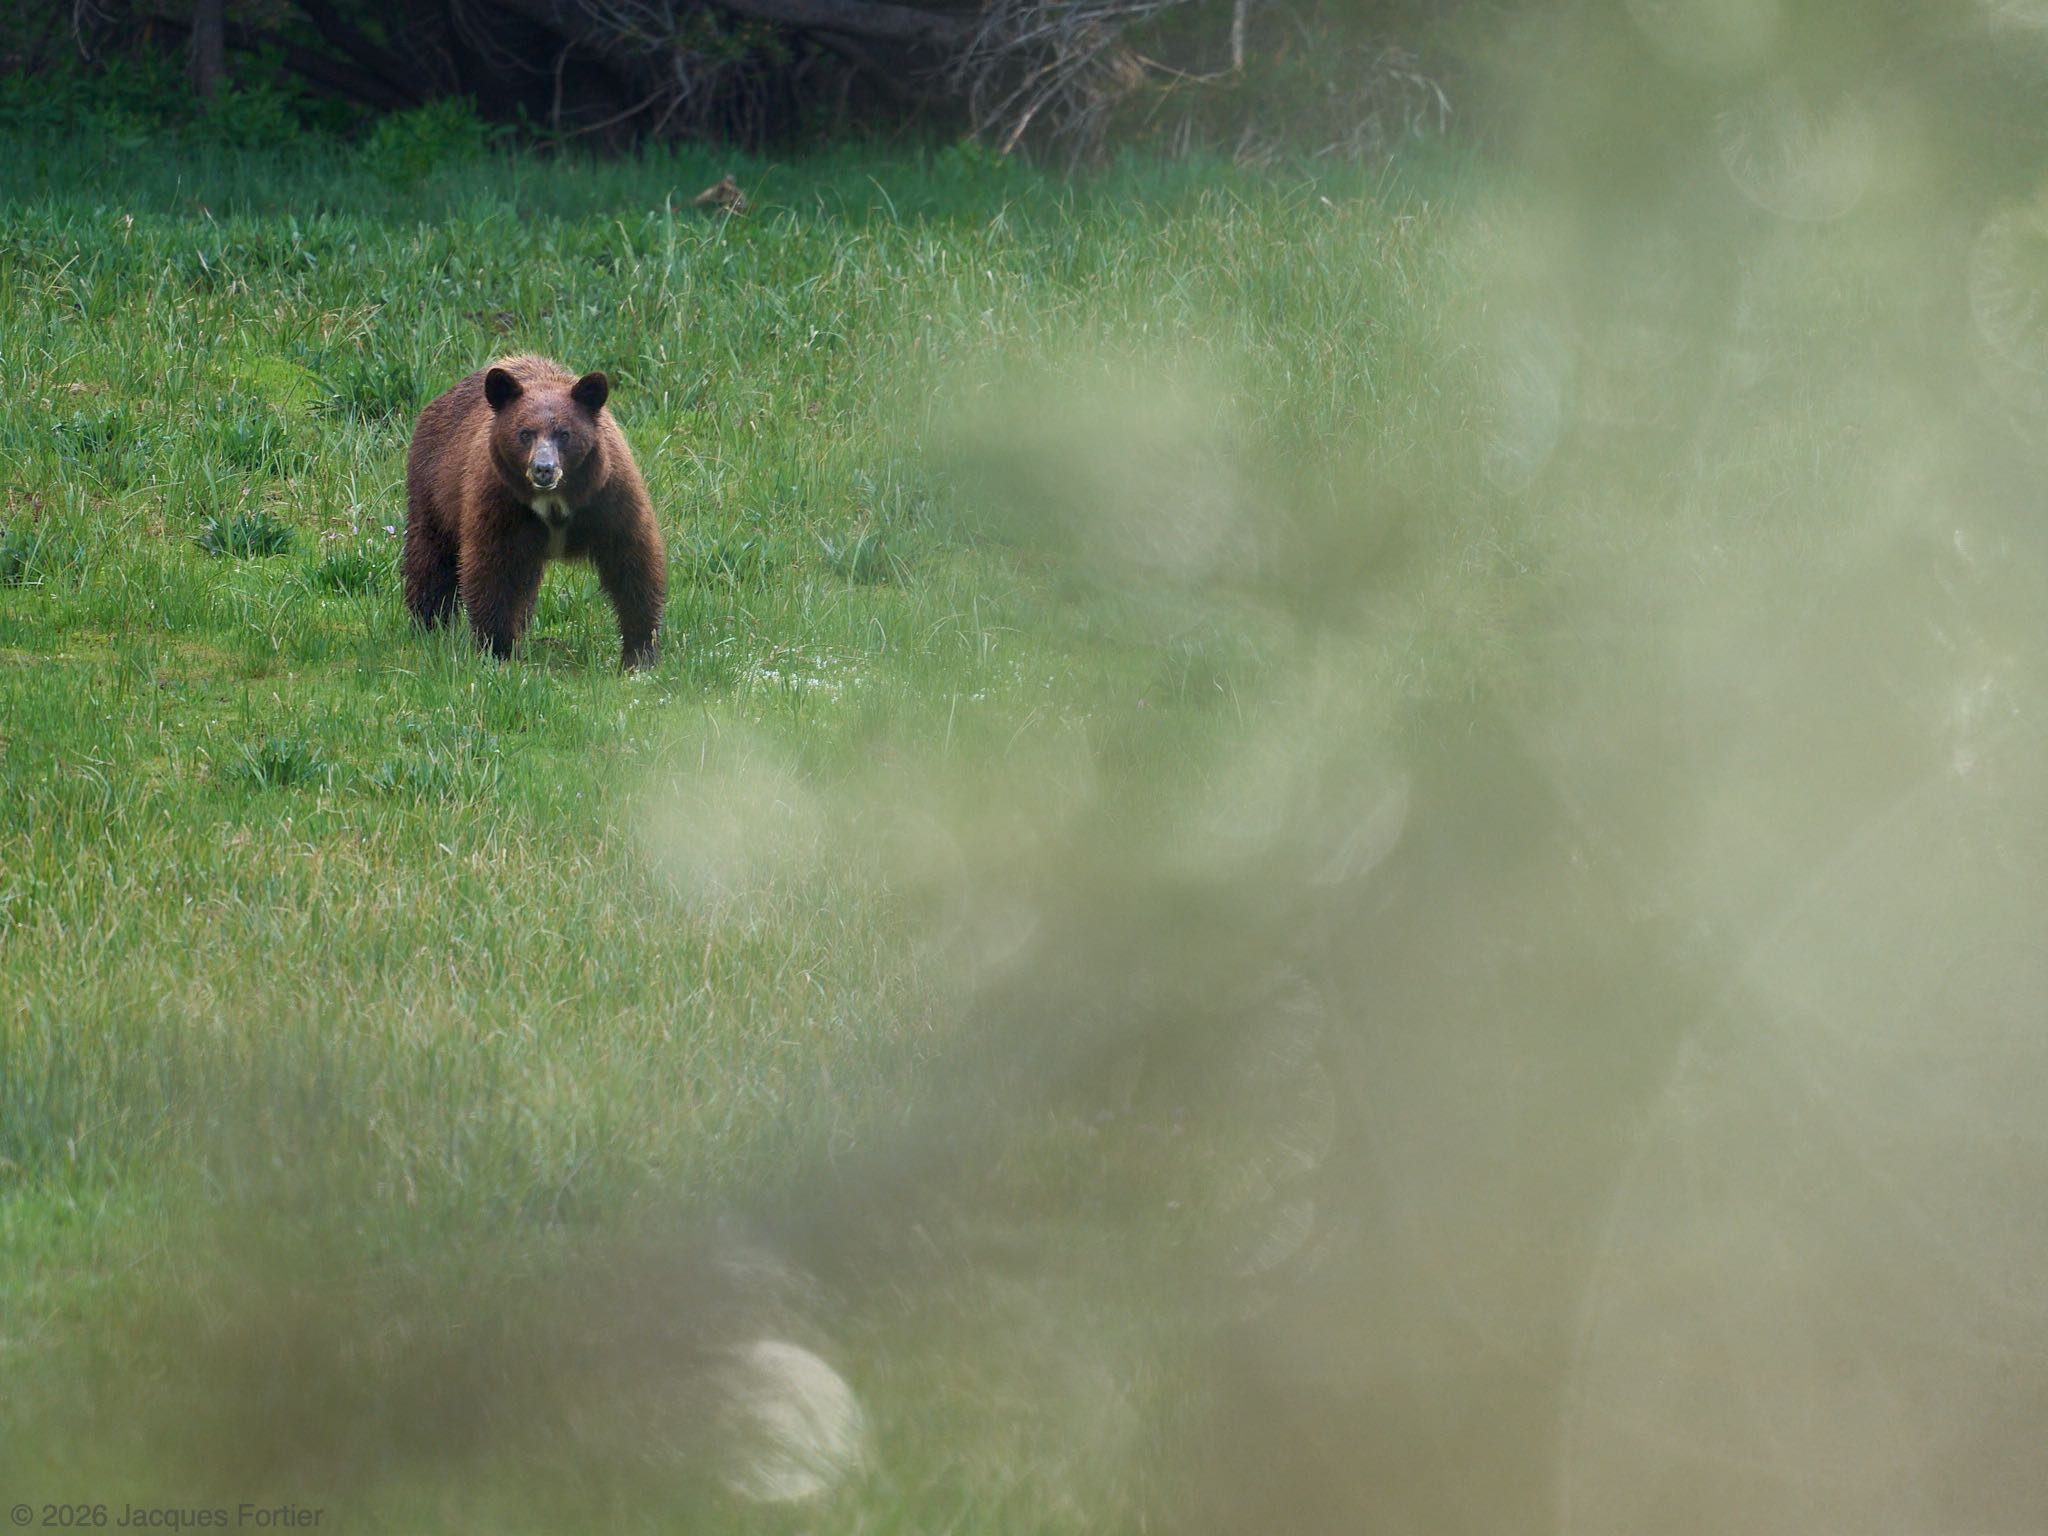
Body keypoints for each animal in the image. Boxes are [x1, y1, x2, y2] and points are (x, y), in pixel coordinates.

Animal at [403, 355, 666, 669]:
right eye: (524, 433)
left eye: (564, 434)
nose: (543, 469)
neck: (554, 503)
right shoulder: (499, 503)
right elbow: (492, 570)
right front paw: (499, 650)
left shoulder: (609, 498)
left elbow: (632, 561)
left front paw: (639, 653)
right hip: (433, 491)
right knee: (430, 559)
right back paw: (428, 624)